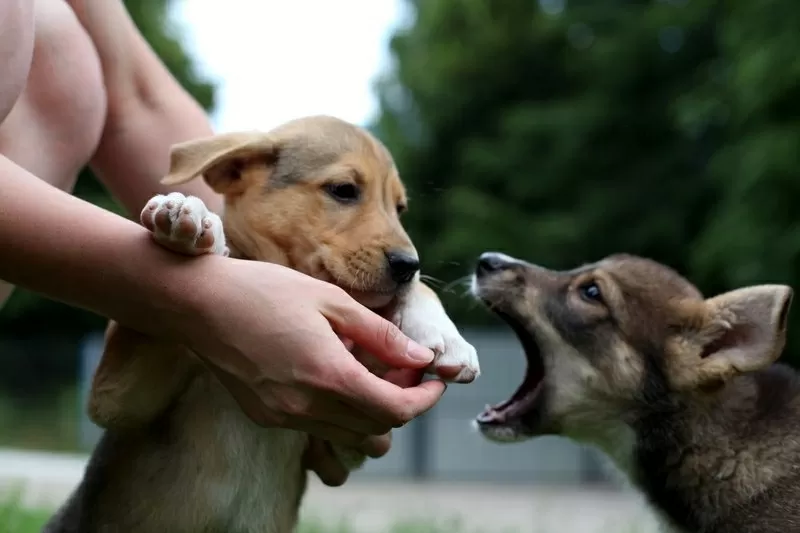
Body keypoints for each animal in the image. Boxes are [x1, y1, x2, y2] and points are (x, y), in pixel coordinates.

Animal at [43, 116, 478, 532]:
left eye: (399, 208)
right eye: (343, 190)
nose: (409, 265)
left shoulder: (340, 444)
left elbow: (423, 293)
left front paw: (445, 335)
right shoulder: (118, 401)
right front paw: (192, 217)